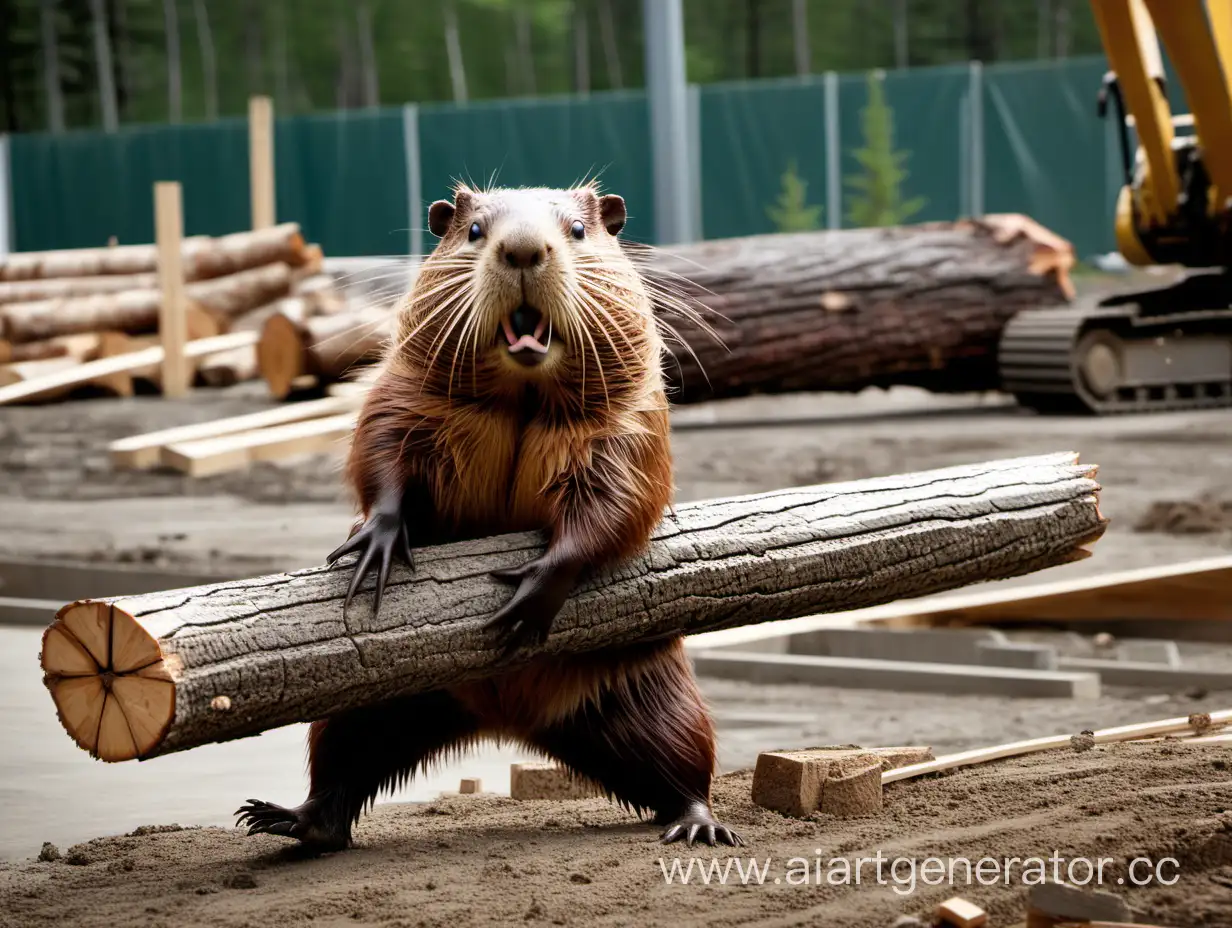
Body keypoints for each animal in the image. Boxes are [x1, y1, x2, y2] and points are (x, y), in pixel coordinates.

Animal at [237, 184, 739, 852]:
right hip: (373, 701)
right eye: (474, 229)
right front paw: (376, 542)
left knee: (683, 765)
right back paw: (280, 818)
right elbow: (381, 453)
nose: (522, 247)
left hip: (654, 692)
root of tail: (506, 719)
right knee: (340, 765)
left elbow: (618, 502)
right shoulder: (404, 391)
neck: (523, 397)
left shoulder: (632, 421)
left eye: (578, 228)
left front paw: (528, 593)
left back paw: (699, 826)